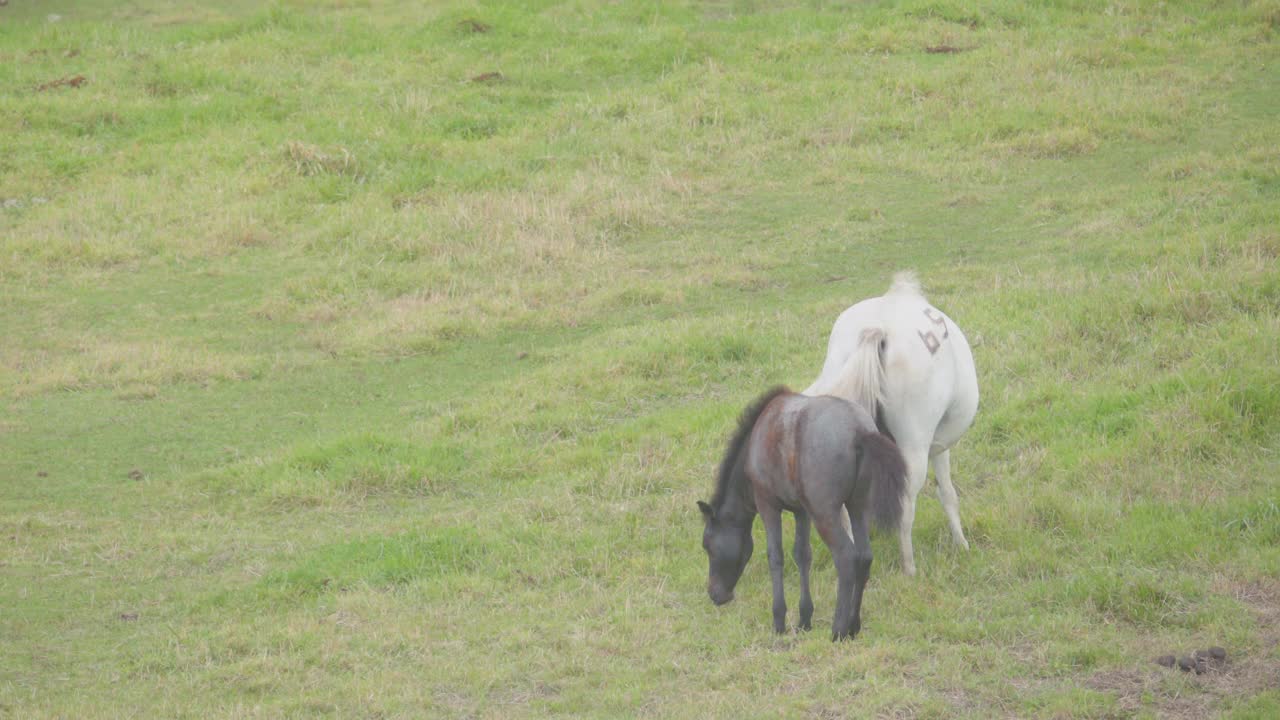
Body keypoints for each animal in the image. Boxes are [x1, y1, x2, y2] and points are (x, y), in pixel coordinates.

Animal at [808, 271, 977, 573]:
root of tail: (877, 329)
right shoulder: (939, 447)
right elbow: (948, 493)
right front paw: (962, 544)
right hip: (914, 448)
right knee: (905, 507)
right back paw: (909, 568)